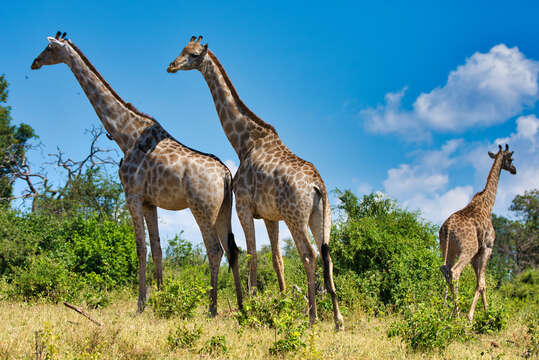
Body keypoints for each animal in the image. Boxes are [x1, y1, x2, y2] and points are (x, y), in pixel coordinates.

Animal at [31, 33, 243, 316]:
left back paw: (212, 309)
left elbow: (140, 248)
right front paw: (163, 300)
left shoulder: (131, 195)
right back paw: (241, 305)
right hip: (224, 210)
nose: (34, 62)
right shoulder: (149, 201)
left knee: (214, 250)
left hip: (202, 207)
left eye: (50, 47)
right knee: (232, 249)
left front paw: (141, 304)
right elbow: (157, 248)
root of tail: (225, 175)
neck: (126, 135)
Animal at [169, 35, 344, 330]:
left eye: (193, 55)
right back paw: (337, 319)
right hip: (321, 217)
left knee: (309, 254)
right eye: (181, 49)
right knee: (327, 255)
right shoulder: (271, 216)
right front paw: (282, 304)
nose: (171, 66)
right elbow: (276, 259)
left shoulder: (244, 207)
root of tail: (317, 186)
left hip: (296, 218)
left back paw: (313, 316)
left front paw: (250, 308)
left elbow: (251, 254)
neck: (244, 143)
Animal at [440, 144, 516, 320]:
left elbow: (480, 283)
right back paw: (458, 313)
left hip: (447, 249)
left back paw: (446, 309)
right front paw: (478, 315)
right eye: (510, 159)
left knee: (445, 270)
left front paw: (486, 312)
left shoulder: (477, 253)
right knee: (455, 272)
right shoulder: (487, 247)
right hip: (468, 248)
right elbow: (482, 283)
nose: (514, 170)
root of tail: (448, 227)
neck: (488, 205)